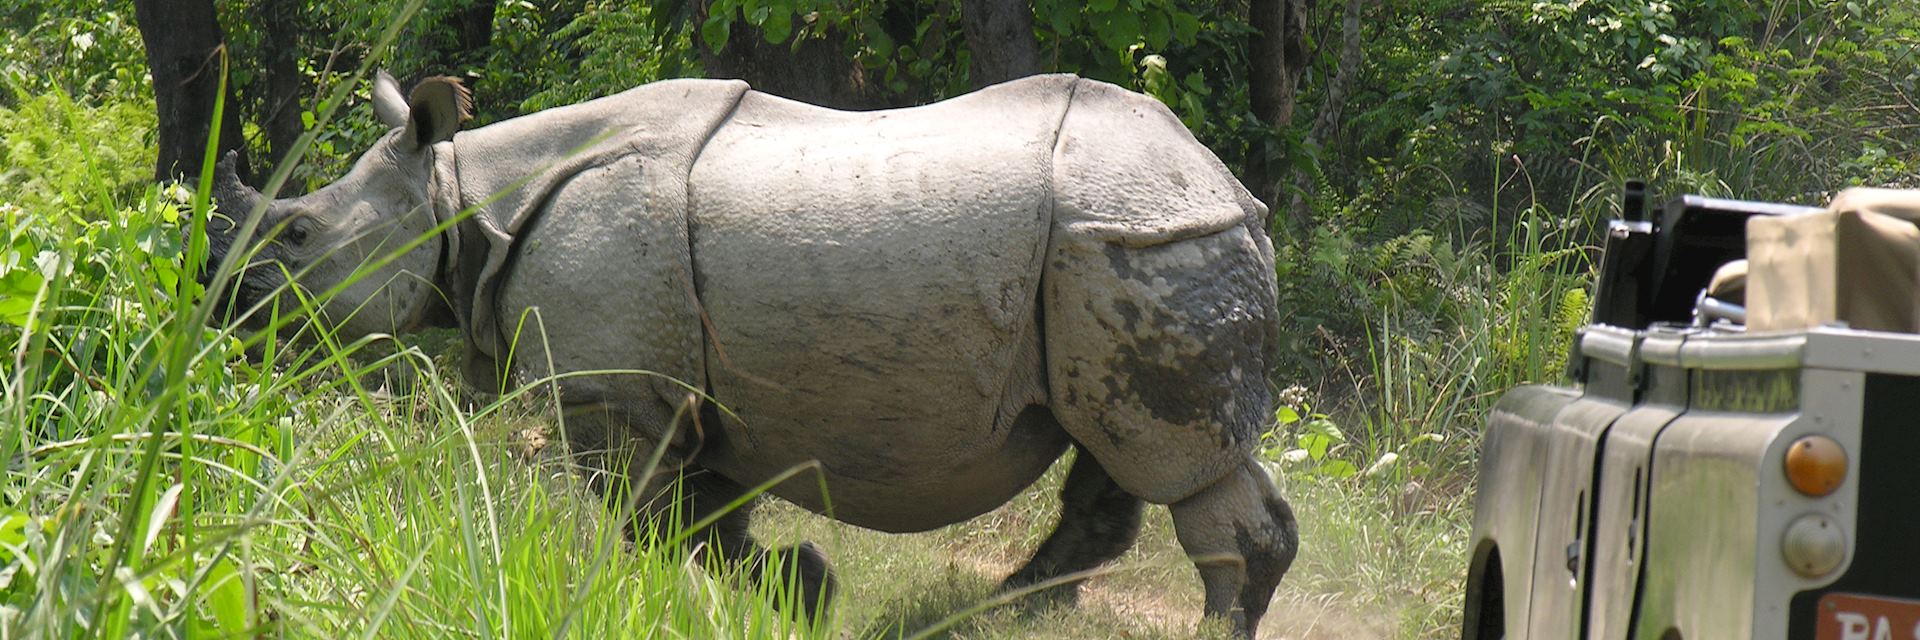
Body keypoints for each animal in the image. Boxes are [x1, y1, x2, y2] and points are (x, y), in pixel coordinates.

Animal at [202, 69, 1297, 638]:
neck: (460, 195)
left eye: (294, 236)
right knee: (1112, 447)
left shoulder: (614, 393)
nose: (225, 315)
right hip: (1110, 251)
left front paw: (797, 587)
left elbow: (652, 524)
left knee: (1174, 460)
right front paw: (804, 590)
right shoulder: (685, 394)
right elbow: (701, 521)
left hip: (1138, 243)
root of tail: (1225, 185)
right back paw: (991, 614)